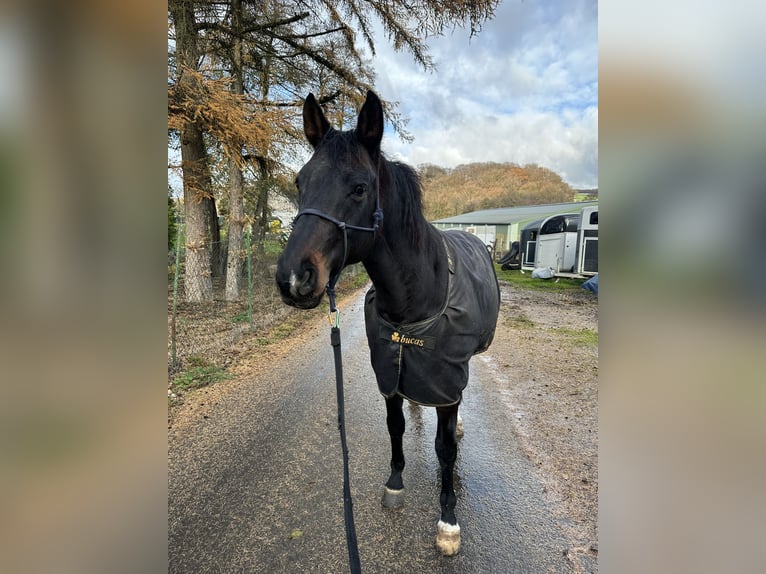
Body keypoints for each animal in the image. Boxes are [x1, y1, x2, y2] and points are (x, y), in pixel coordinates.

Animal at [275, 90, 500, 556]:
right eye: (300, 182)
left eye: (359, 188)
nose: (293, 279)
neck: (416, 301)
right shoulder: (389, 372)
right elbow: (395, 426)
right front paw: (395, 483)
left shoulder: (447, 382)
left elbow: (445, 449)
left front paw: (448, 521)